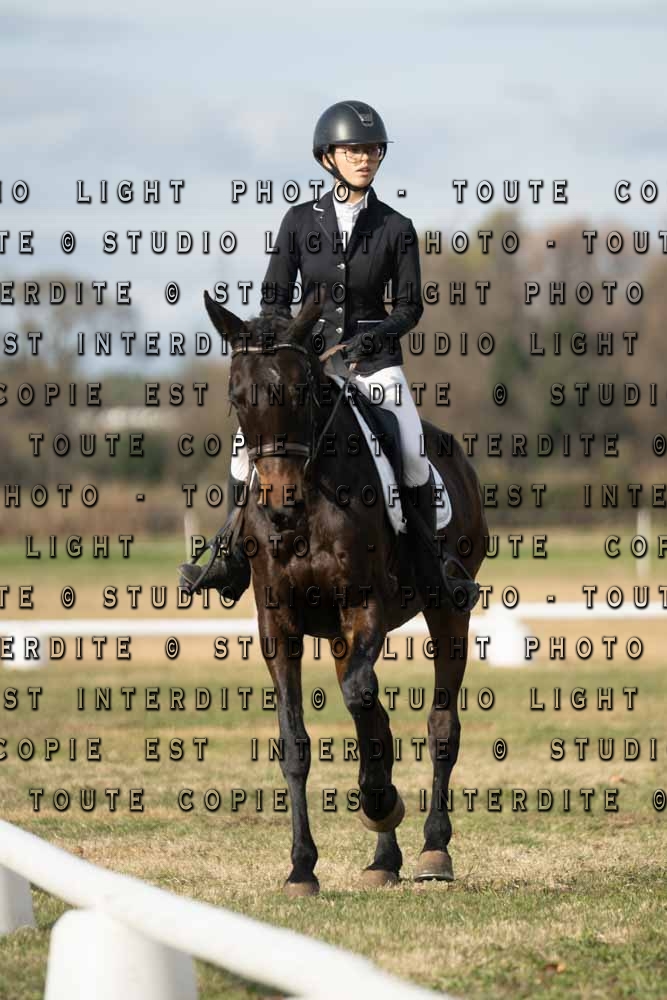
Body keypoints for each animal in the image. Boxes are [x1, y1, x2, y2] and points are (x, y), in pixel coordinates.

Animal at [202, 289, 488, 896]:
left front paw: (379, 803)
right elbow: (298, 740)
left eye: (300, 390)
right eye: (236, 396)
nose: (279, 505)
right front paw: (301, 867)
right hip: (336, 635)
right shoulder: (278, 623)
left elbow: (361, 697)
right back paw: (384, 857)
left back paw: (432, 849)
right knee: (375, 719)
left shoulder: (364, 605)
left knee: (439, 725)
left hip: (446, 610)